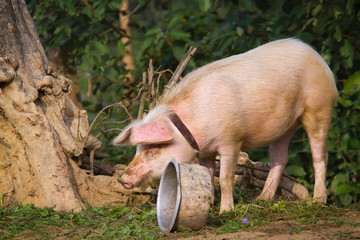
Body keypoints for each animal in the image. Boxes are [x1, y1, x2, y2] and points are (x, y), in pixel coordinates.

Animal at [114, 39, 338, 214]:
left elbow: (225, 177)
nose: (123, 179)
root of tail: (321, 60)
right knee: (280, 159)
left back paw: (318, 201)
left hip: (319, 107)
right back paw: (261, 199)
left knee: (320, 157)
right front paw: (210, 205)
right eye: (138, 148)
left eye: (154, 146)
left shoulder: (231, 139)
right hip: (285, 126)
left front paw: (225, 211)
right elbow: (208, 175)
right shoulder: (205, 151)